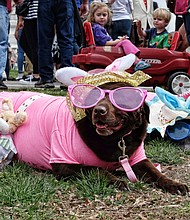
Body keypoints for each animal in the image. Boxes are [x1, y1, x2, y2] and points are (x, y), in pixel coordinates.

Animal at [51, 82, 189, 194]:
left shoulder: (140, 160)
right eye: (95, 98)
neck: (117, 138)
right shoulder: (63, 164)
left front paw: (174, 184)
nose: (99, 110)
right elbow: (95, 168)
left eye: (120, 97)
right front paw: (116, 181)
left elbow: (156, 172)